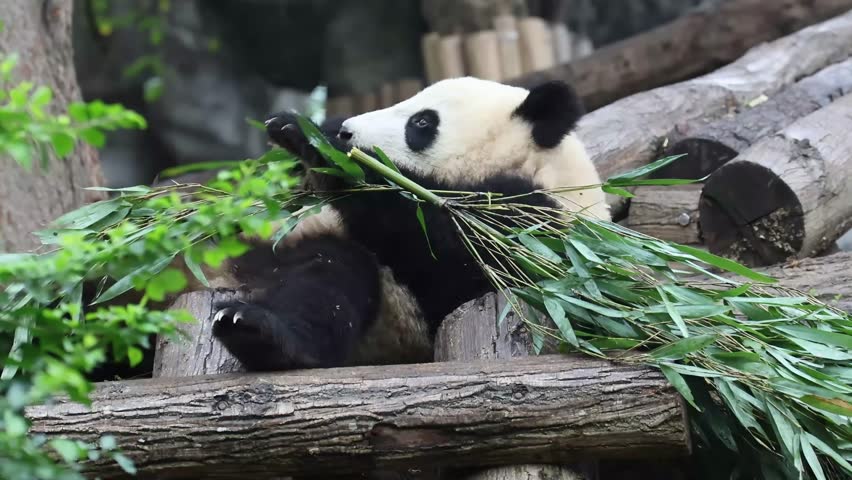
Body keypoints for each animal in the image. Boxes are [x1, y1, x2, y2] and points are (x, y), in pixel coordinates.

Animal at [203, 76, 609, 372]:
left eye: (422, 122)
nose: (347, 130)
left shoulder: (535, 228)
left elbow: (448, 245)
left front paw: (323, 146)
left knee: (330, 277)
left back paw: (260, 332)